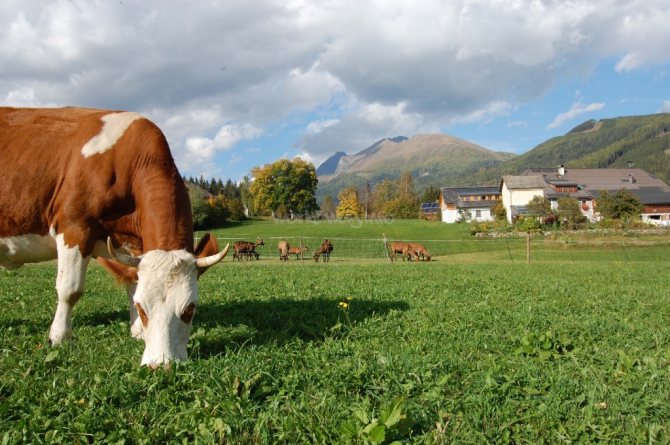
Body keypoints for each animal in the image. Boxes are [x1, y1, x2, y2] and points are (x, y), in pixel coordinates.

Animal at [0, 106, 230, 366]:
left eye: (190, 310)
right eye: (143, 308)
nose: (161, 365)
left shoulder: (134, 243)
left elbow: (133, 279)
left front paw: (138, 332)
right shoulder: (74, 227)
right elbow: (70, 289)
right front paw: (59, 337)